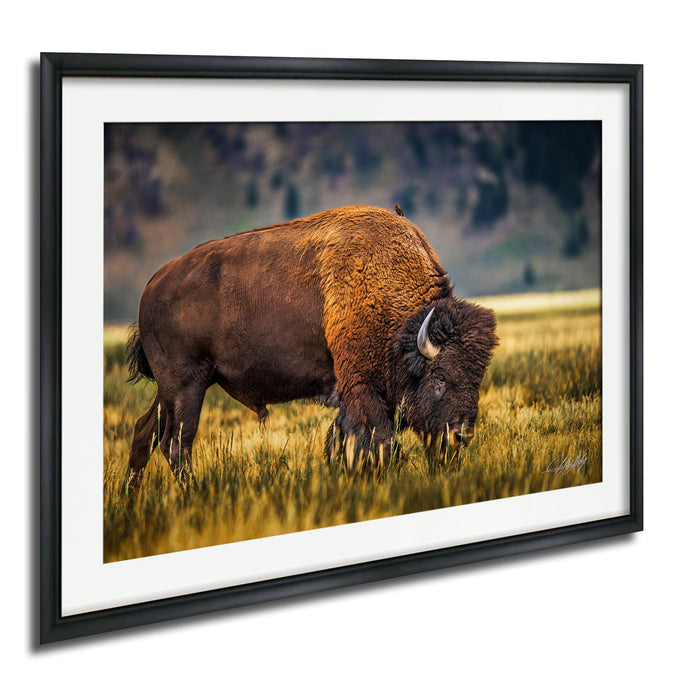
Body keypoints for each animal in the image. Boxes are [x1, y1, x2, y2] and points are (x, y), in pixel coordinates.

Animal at [125, 205, 497, 492]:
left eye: (477, 377)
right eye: (441, 377)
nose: (461, 435)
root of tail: (152, 285)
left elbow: (342, 442)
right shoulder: (363, 389)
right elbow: (376, 443)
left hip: (171, 390)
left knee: (145, 432)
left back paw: (132, 499)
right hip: (186, 386)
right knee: (177, 443)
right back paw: (194, 494)